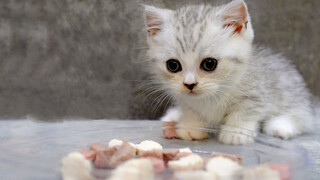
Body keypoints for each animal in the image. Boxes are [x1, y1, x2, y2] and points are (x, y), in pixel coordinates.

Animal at [142, 0, 312, 144]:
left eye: (209, 64)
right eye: (173, 65)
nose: (190, 84)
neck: (213, 95)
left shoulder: (255, 93)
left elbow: (245, 110)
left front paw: (235, 132)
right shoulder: (185, 100)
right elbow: (191, 109)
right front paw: (191, 126)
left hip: (291, 94)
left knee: (302, 117)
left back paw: (281, 126)